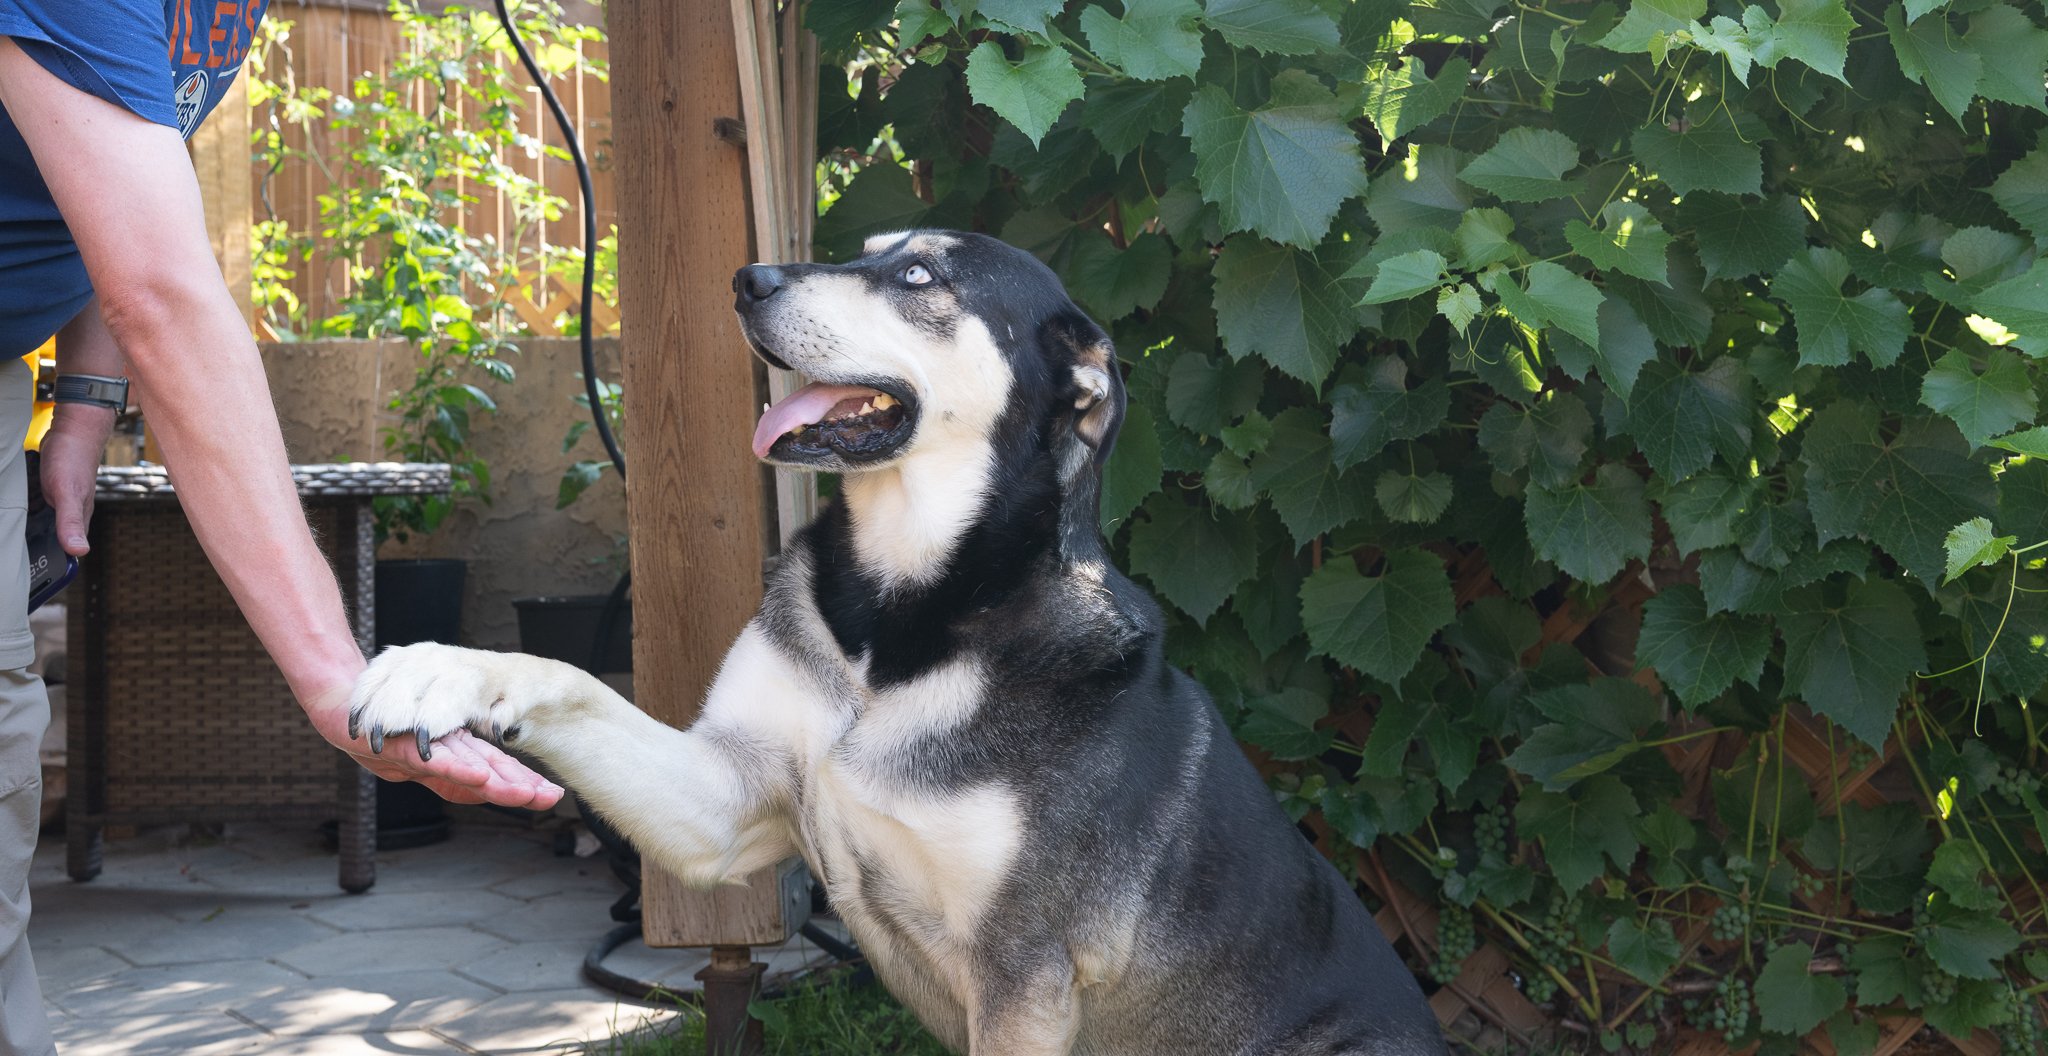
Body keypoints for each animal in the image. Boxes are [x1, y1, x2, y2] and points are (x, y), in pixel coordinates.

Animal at [348, 231, 1443, 1055]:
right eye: (863, 252)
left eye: (920, 277)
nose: (747, 279)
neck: (900, 619)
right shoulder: (727, 802)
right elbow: (569, 677)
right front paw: (438, 671)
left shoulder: (1023, 976)